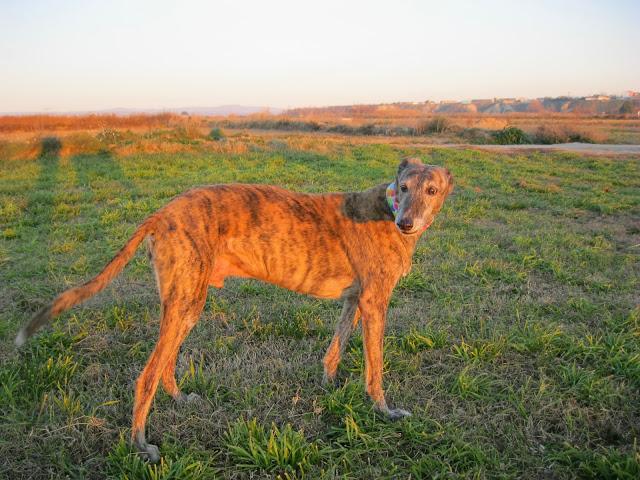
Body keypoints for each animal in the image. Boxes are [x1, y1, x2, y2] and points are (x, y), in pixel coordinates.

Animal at [16, 157, 456, 462]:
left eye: (432, 190)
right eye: (404, 186)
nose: (405, 224)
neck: (388, 206)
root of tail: (161, 214)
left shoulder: (356, 300)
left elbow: (336, 346)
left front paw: (329, 385)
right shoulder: (375, 302)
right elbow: (375, 368)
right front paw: (385, 411)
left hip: (188, 302)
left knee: (165, 363)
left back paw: (179, 400)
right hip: (184, 299)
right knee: (146, 375)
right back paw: (140, 445)